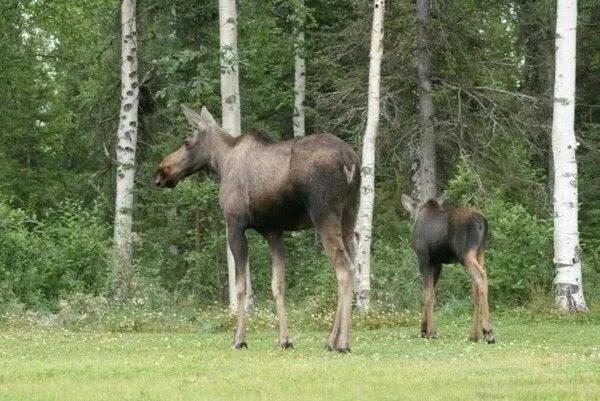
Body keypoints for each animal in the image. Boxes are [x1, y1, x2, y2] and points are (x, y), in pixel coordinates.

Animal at [156, 105, 360, 350]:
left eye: (187, 142)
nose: (161, 171)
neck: (221, 163)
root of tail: (349, 159)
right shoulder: (274, 231)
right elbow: (277, 285)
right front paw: (284, 339)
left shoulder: (235, 224)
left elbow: (241, 286)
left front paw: (239, 339)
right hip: (349, 217)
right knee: (352, 265)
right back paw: (331, 339)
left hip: (324, 215)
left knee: (345, 270)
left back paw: (341, 343)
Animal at [400, 192, 494, 342]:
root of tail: (482, 221)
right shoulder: (438, 263)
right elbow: (431, 292)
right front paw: (424, 329)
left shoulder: (424, 258)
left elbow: (427, 294)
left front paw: (430, 332)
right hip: (480, 252)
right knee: (476, 288)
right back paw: (474, 335)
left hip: (465, 253)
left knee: (481, 276)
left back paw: (488, 331)